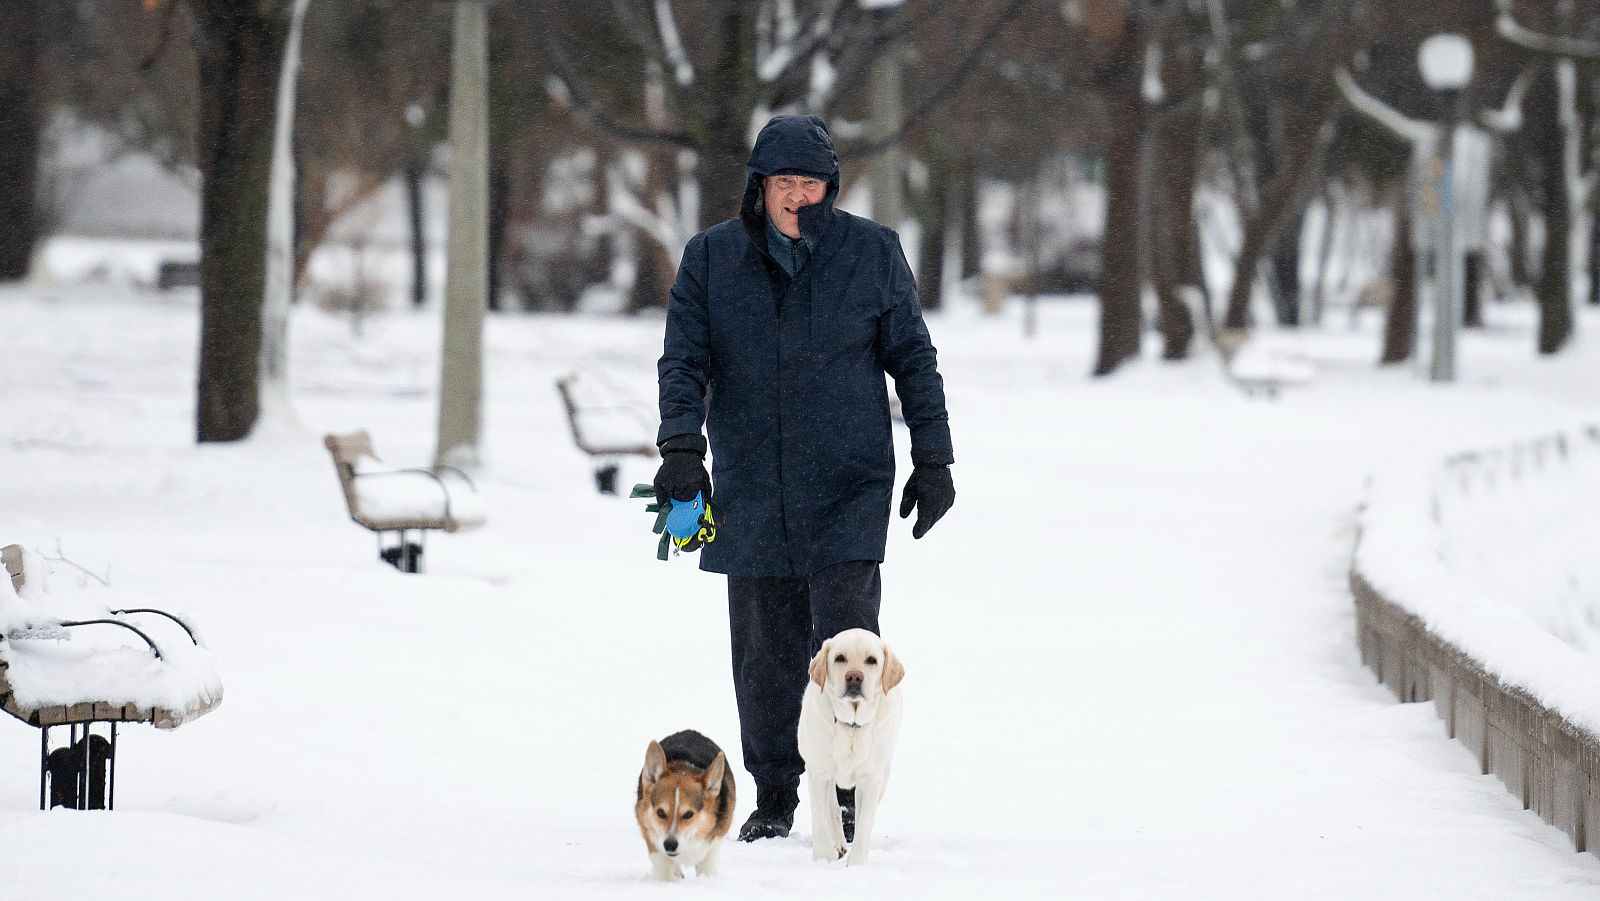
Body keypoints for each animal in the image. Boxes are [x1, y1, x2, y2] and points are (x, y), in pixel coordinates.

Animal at [636, 732, 736, 883]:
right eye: (660, 813)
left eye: (688, 814)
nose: (670, 845)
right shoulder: (652, 839)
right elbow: (664, 869)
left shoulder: (713, 844)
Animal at [796, 627, 908, 864]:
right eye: (840, 658)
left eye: (872, 660)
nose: (854, 677)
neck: (851, 725)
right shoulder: (818, 773)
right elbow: (821, 819)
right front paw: (823, 858)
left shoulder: (872, 779)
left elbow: (864, 824)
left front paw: (857, 864)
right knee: (832, 809)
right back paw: (837, 844)